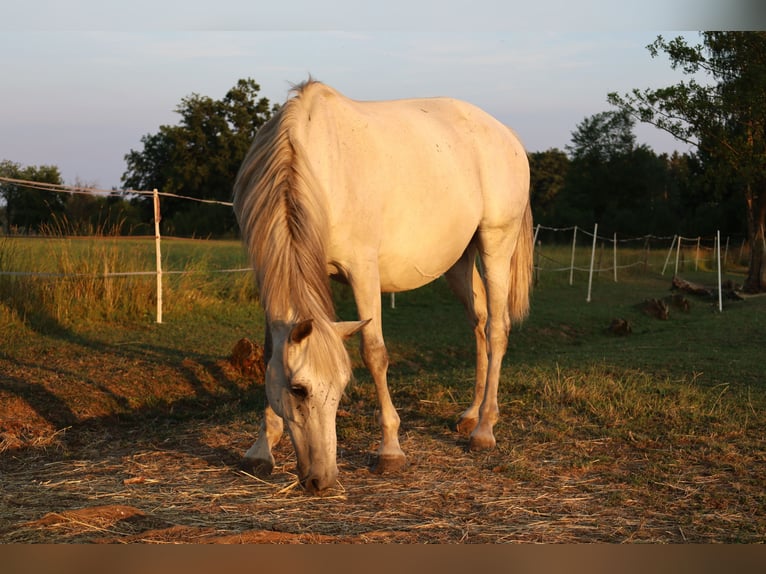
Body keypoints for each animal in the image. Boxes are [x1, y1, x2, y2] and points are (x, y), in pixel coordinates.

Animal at [234, 80, 536, 496]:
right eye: (298, 389)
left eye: (341, 386)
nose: (322, 480)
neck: (315, 163)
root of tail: (507, 135)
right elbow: (269, 354)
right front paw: (261, 449)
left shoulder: (363, 271)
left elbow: (374, 352)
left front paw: (390, 450)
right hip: (459, 261)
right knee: (479, 322)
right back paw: (470, 416)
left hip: (496, 245)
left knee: (497, 329)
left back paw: (484, 430)